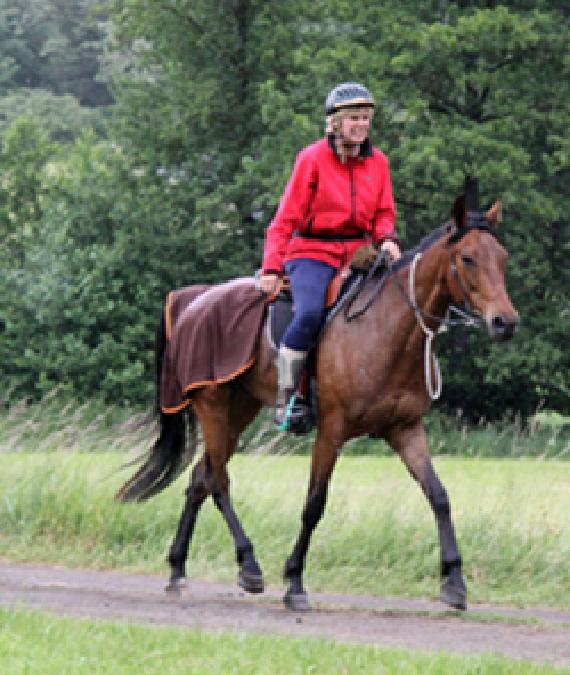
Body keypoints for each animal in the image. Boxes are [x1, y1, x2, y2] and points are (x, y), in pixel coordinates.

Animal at [116, 195, 519, 612]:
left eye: (502, 257)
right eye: (467, 258)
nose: (505, 322)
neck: (385, 328)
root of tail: (190, 300)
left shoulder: (405, 430)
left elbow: (438, 496)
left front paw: (454, 581)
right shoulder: (331, 430)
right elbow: (314, 504)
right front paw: (294, 582)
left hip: (238, 409)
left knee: (200, 477)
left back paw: (178, 572)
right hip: (212, 404)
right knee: (217, 480)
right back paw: (249, 565)